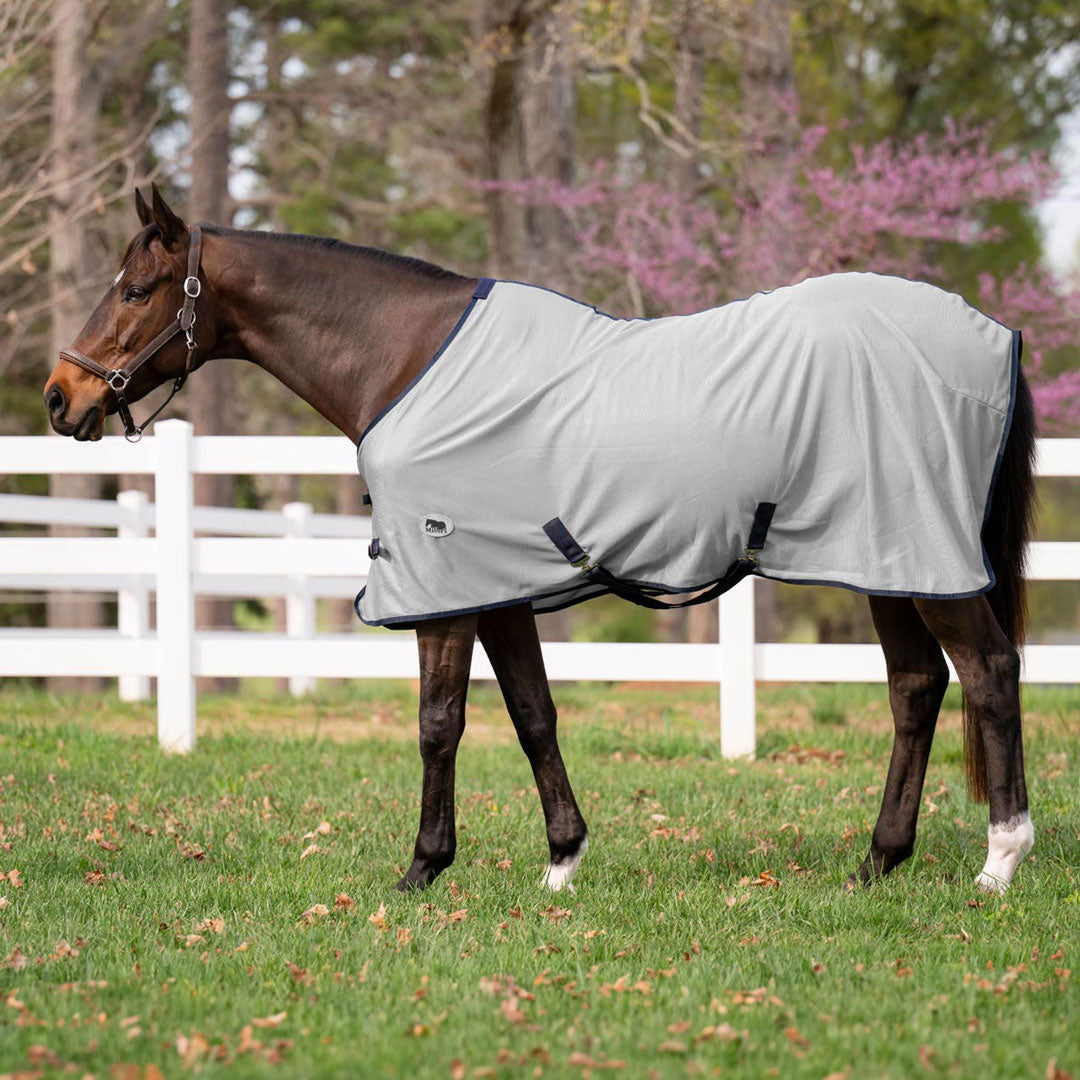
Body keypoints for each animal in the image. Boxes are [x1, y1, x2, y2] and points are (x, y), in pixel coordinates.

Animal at [44, 185, 1036, 895]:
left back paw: (999, 859)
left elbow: (438, 723)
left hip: (923, 559)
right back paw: (878, 861)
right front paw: (562, 860)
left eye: (136, 289)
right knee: (917, 687)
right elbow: (533, 714)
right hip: (886, 560)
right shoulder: (496, 586)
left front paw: (422, 869)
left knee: (988, 671)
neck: (405, 362)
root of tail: (995, 335)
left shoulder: (444, 586)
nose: (61, 396)